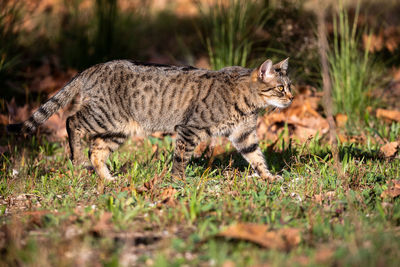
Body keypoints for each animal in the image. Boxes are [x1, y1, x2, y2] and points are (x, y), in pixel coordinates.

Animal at [7, 58, 294, 182]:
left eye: (290, 86)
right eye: (281, 89)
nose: (291, 98)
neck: (248, 102)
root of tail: (92, 67)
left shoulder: (244, 135)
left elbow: (257, 158)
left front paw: (270, 177)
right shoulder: (189, 129)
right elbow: (180, 159)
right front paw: (179, 182)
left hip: (117, 129)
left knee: (96, 150)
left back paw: (108, 179)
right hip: (102, 116)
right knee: (72, 121)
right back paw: (77, 158)